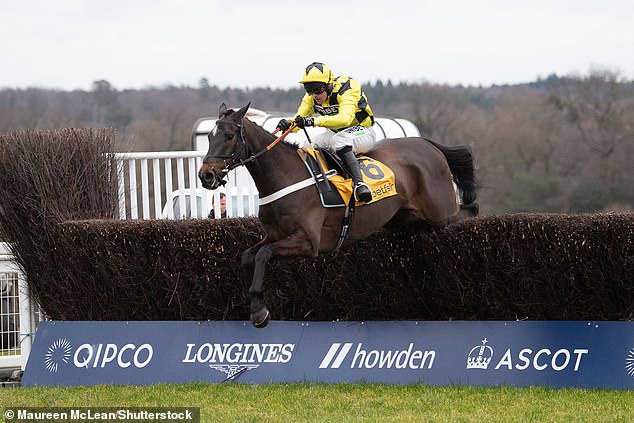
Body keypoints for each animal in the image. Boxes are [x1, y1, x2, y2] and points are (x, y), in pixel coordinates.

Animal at [198, 102, 474, 328]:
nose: (206, 176)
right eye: (210, 136)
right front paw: (255, 301)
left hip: (442, 212)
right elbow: (248, 255)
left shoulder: (309, 242)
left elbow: (263, 255)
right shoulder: (274, 235)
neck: (284, 175)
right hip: (406, 217)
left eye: (230, 135)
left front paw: (259, 310)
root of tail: (428, 144)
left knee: (466, 215)